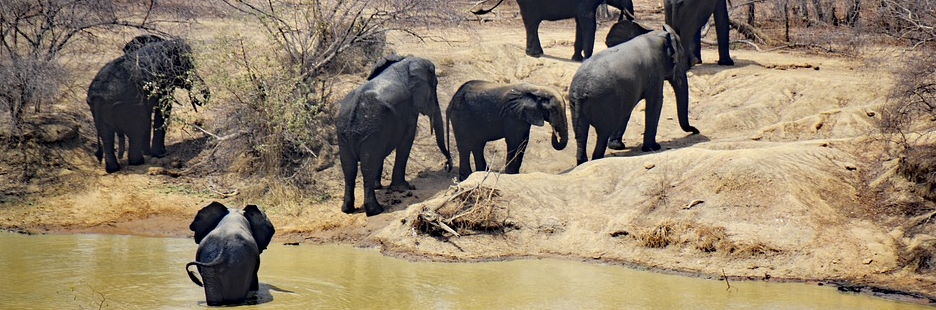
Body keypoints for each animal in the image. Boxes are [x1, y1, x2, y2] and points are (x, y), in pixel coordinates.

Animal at [87, 37, 209, 173]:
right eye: (188, 64)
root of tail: (98, 95)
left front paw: (150, 152)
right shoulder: (163, 79)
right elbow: (163, 108)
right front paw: (160, 153)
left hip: (99, 109)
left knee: (106, 135)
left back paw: (113, 168)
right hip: (127, 104)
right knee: (137, 128)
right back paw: (137, 162)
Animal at [336, 55, 454, 216]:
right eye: (435, 86)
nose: (448, 166)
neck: (404, 62)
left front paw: (379, 187)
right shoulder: (410, 109)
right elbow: (407, 140)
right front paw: (403, 187)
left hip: (345, 132)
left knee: (349, 167)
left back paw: (347, 210)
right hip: (371, 131)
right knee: (367, 166)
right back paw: (375, 210)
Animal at [476, 0, 636, 61]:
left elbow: (580, 23)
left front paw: (577, 59)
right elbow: (588, 22)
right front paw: (586, 60)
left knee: (531, 22)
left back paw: (535, 53)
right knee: (532, 22)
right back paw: (535, 54)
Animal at [568, 24, 700, 165]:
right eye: (680, 59)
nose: (695, 130)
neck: (656, 36)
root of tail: (581, 89)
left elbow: (628, 109)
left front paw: (617, 146)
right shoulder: (655, 72)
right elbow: (656, 102)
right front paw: (653, 148)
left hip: (575, 104)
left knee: (581, 133)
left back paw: (583, 162)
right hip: (603, 102)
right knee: (603, 132)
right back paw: (596, 159)